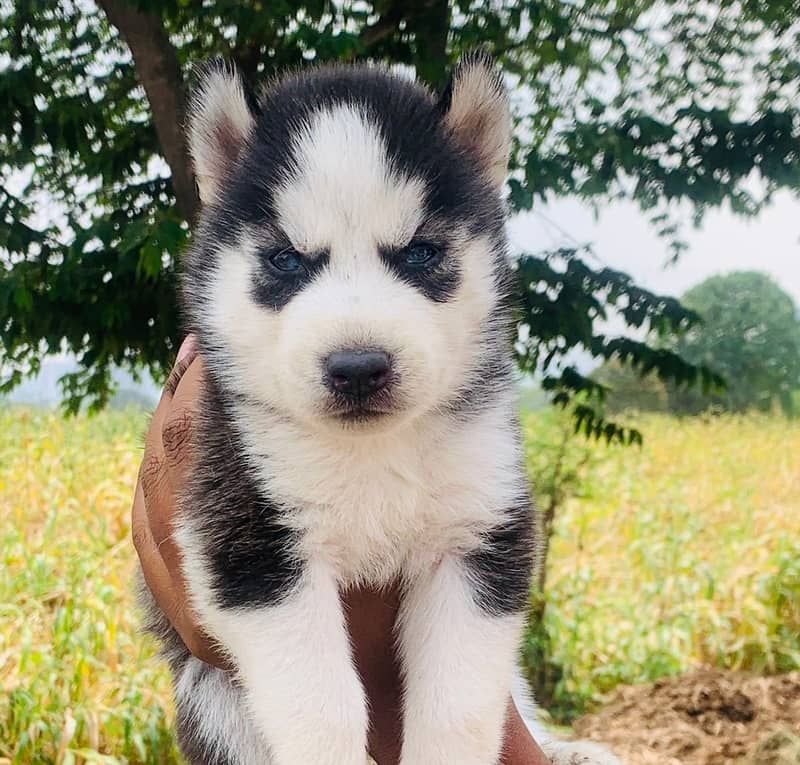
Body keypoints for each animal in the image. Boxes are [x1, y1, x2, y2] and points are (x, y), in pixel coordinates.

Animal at [144, 55, 620, 764]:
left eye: (420, 252)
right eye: (286, 260)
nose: (358, 367)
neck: (374, 452)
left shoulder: (481, 531)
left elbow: (458, 706)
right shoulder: (250, 538)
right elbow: (320, 704)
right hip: (214, 698)